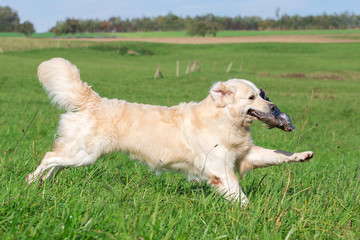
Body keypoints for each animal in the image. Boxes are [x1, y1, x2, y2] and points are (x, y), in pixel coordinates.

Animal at [26, 58, 312, 206]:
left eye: (263, 94)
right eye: (252, 97)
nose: (274, 108)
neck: (225, 120)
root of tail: (95, 100)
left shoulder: (244, 156)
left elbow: (276, 154)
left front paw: (302, 155)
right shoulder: (221, 170)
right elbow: (240, 197)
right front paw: (251, 213)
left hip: (78, 154)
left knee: (55, 163)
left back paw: (42, 183)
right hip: (83, 154)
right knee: (48, 158)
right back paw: (31, 181)